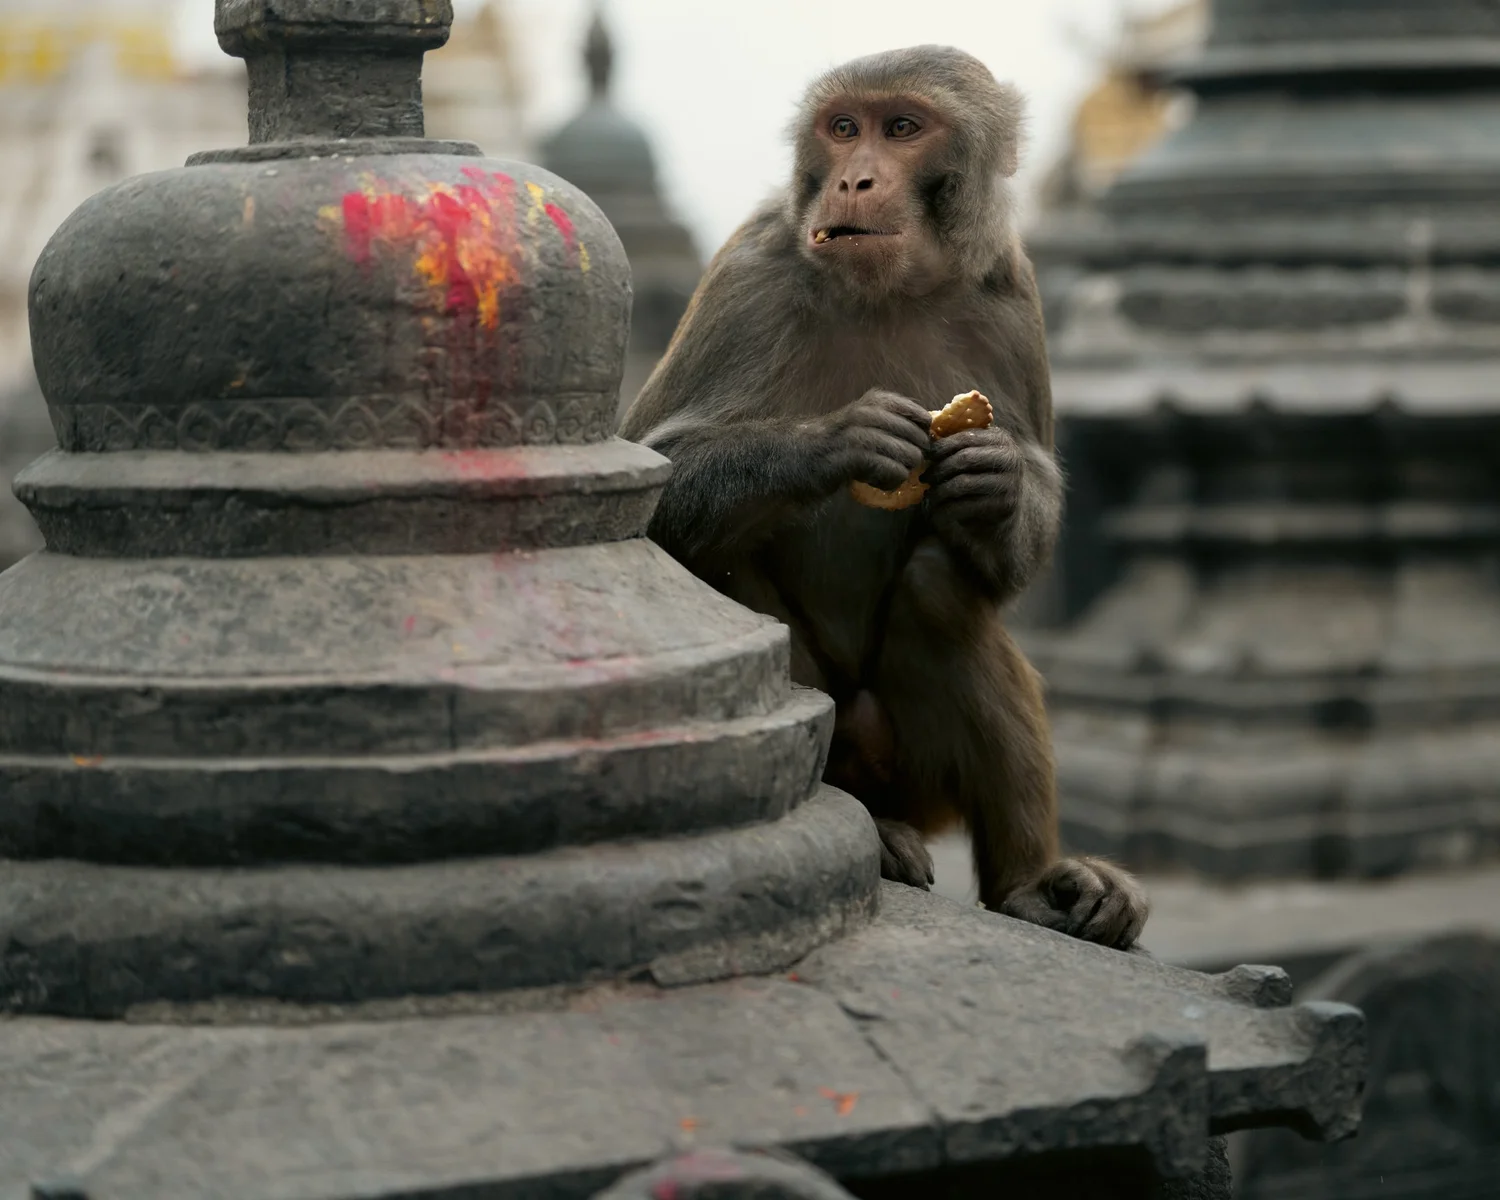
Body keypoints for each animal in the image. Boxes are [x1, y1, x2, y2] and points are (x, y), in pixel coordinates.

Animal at [618, 46, 1147, 949]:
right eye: (843, 128)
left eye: (902, 127)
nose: (854, 180)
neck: (888, 288)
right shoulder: (749, 271)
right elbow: (653, 479)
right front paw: (838, 440)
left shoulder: (1011, 292)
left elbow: (1019, 523)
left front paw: (1000, 479)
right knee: (726, 563)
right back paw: (873, 832)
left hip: (917, 771)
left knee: (940, 588)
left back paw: (1033, 884)